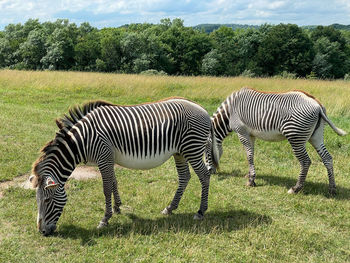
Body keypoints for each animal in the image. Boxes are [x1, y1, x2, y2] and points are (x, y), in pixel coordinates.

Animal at [30, 98, 219, 237]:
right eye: (37, 200)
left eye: (47, 200)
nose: (42, 232)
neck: (81, 142)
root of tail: (202, 109)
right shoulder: (109, 158)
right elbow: (114, 182)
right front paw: (117, 207)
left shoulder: (104, 157)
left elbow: (106, 188)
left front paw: (105, 219)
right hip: (179, 152)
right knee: (185, 177)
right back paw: (170, 208)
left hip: (192, 148)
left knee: (204, 176)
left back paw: (201, 211)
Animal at [206, 87, 346, 195]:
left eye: (205, 152)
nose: (210, 172)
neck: (229, 112)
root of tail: (317, 104)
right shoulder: (251, 135)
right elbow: (251, 155)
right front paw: (249, 175)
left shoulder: (242, 133)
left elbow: (249, 155)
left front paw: (251, 181)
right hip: (316, 137)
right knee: (327, 158)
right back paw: (332, 189)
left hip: (296, 137)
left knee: (306, 161)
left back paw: (295, 189)